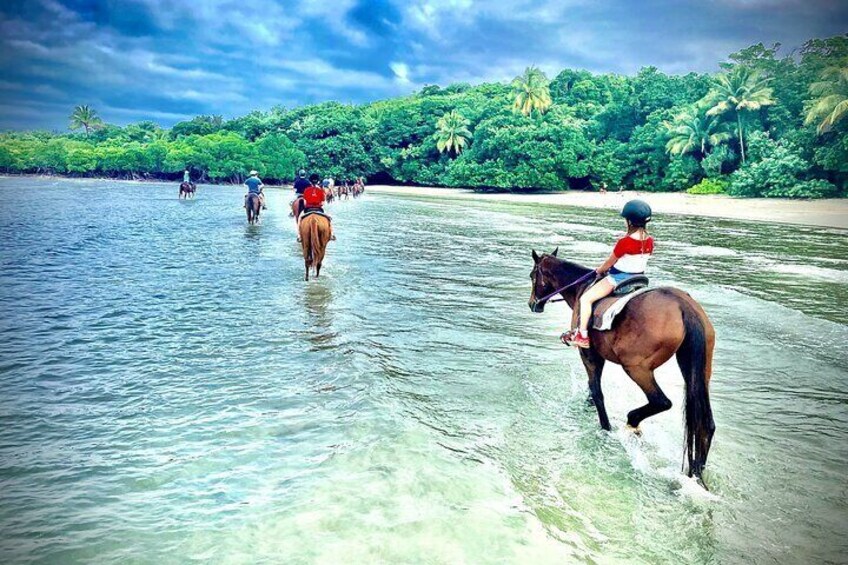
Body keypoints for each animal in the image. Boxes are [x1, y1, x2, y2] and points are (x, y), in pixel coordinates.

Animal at [528, 249, 716, 486]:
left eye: (532, 276)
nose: (532, 303)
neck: (581, 289)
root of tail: (684, 307)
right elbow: (592, 390)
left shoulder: (589, 355)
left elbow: (597, 391)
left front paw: (605, 427)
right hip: (699, 370)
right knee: (706, 424)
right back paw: (697, 473)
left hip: (636, 368)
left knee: (661, 401)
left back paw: (632, 421)